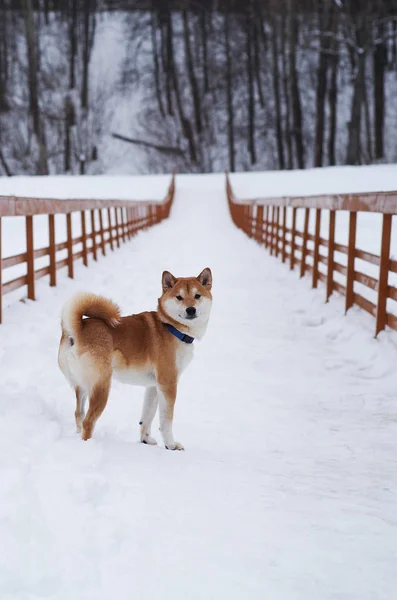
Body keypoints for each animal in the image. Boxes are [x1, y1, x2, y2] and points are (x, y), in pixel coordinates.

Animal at [57, 268, 212, 450]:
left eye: (197, 296)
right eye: (179, 297)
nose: (190, 310)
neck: (172, 327)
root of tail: (77, 330)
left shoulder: (153, 386)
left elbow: (147, 416)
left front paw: (146, 440)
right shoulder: (168, 383)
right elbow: (166, 421)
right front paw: (171, 445)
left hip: (82, 387)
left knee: (78, 415)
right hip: (101, 386)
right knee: (88, 422)